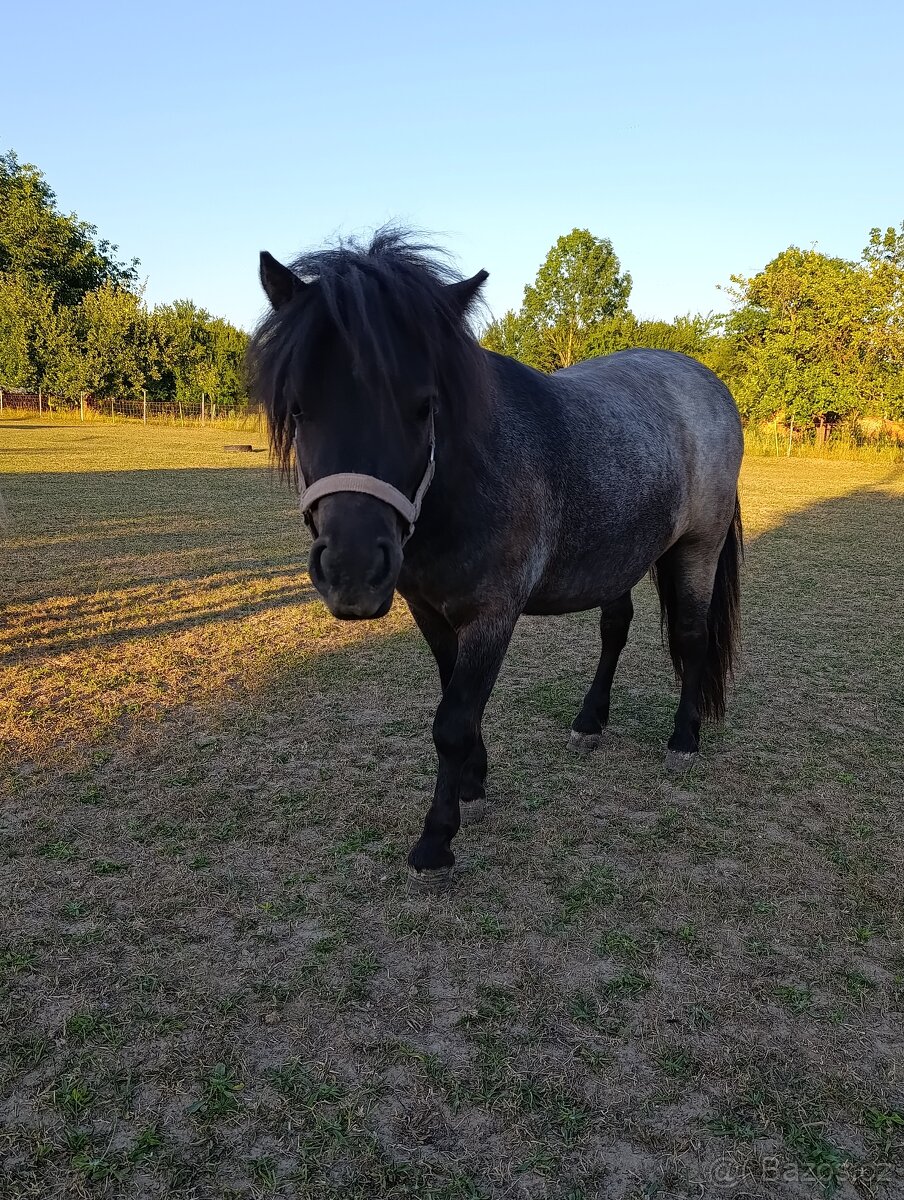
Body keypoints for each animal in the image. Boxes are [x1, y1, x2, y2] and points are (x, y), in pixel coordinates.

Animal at [247, 230, 743, 888]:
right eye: (300, 407)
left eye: (425, 406)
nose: (352, 572)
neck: (463, 486)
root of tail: (704, 379)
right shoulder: (429, 610)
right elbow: (453, 698)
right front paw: (473, 786)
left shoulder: (492, 616)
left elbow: (453, 721)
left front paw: (437, 839)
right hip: (619, 555)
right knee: (616, 628)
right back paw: (590, 721)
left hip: (698, 546)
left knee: (690, 637)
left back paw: (684, 738)